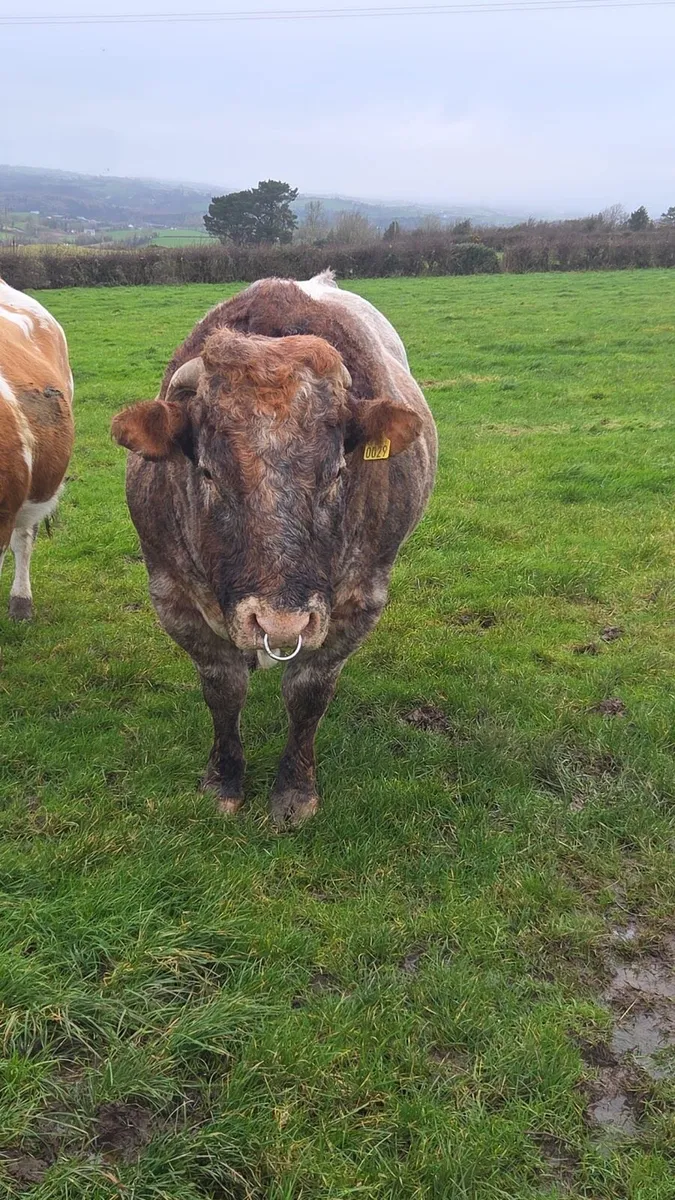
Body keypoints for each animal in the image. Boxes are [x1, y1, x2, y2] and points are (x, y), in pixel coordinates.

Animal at [111, 272, 437, 827]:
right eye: (208, 472)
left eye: (338, 472)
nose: (279, 623)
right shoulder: (171, 596)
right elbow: (223, 689)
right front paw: (223, 780)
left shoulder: (358, 603)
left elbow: (307, 695)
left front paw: (295, 791)